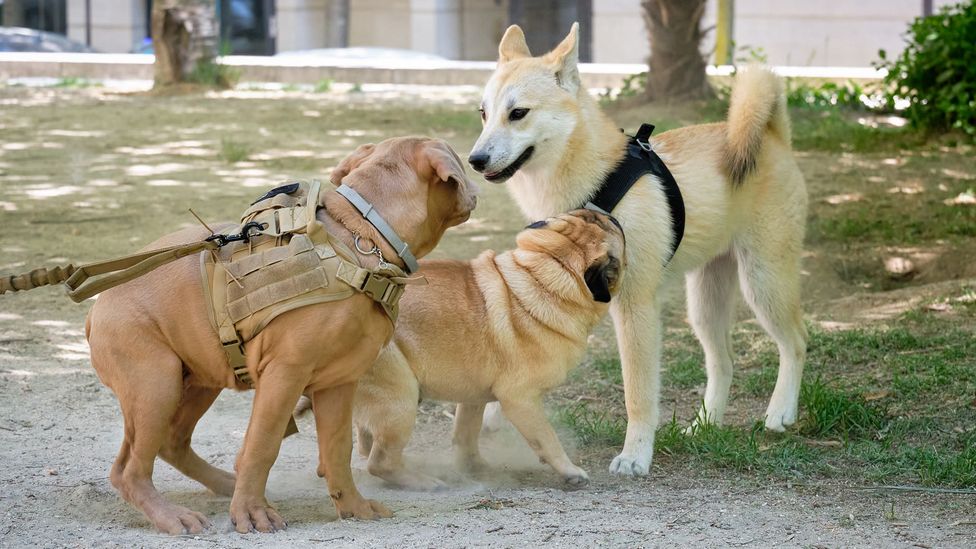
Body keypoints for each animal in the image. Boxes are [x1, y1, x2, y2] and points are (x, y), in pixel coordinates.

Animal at [87, 135, 476, 532]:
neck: (361, 235)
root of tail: (95, 310)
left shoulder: (339, 382)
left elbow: (338, 449)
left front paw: (353, 506)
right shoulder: (284, 375)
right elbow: (262, 445)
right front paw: (251, 511)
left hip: (197, 381)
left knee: (169, 443)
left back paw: (223, 484)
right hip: (156, 386)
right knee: (130, 470)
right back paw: (172, 515)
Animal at [346, 209, 620, 488]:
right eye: (614, 226)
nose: (605, 211)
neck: (544, 276)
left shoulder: (473, 398)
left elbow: (466, 436)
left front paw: (474, 468)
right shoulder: (521, 400)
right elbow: (547, 438)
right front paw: (570, 471)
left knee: (366, 445)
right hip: (401, 399)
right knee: (380, 461)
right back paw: (424, 482)